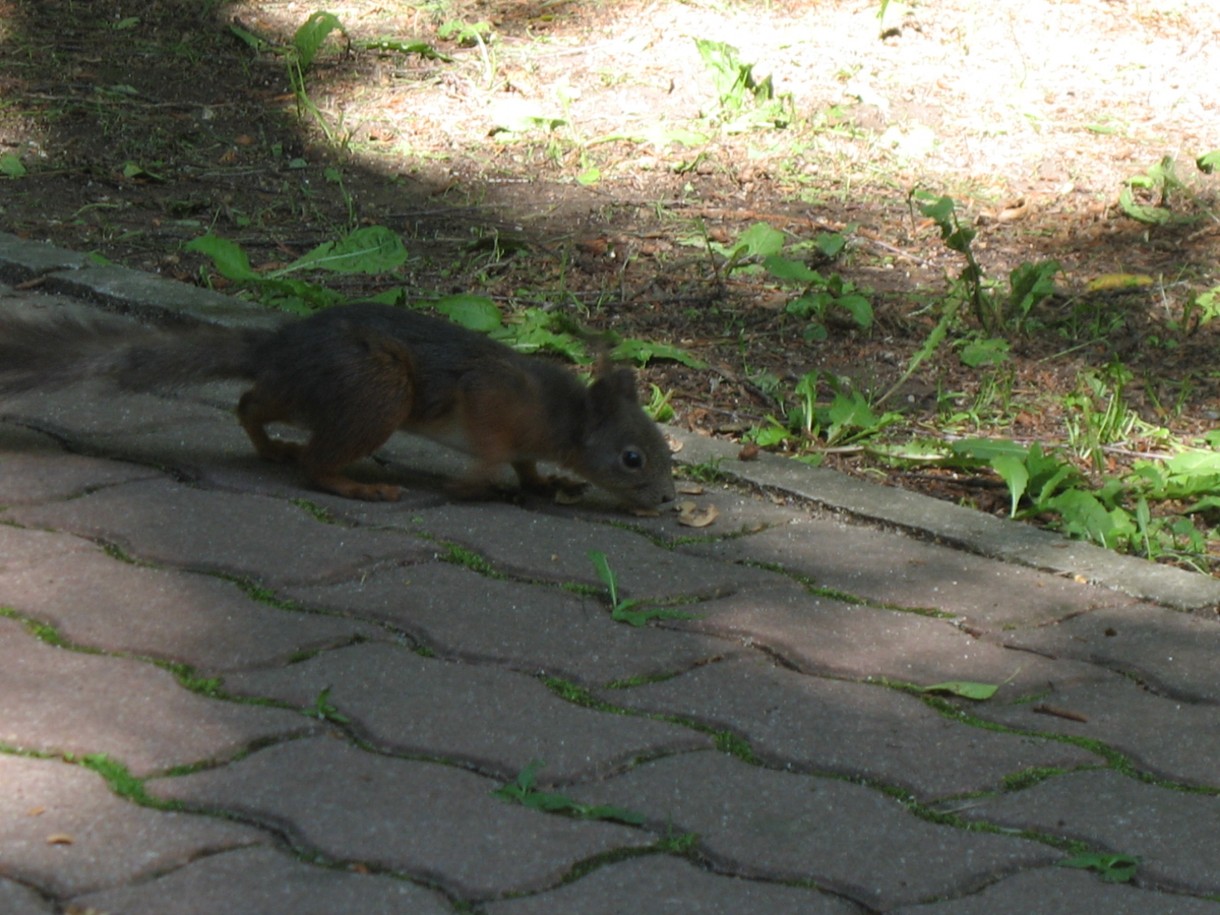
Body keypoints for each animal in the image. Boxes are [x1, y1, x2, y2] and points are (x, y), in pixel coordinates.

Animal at [0, 305, 678, 512]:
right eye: (633, 458)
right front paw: (474, 483)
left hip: (309, 394)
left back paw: (271, 444)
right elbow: (491, 451)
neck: (563, 415)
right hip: (380, 391)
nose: (669, 501)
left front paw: (547, 484)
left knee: (251, 403)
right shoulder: (494, 395)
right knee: (316, 464)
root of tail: (282, 347)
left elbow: (528, 465)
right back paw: (356, 485)